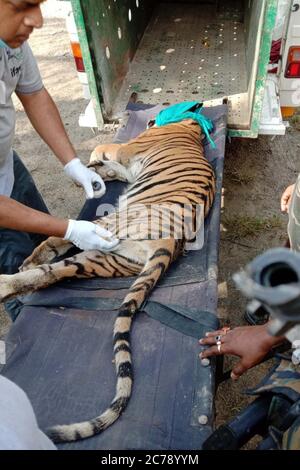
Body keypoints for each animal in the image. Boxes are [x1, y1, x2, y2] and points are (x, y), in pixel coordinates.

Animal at [0, 116, 216, 440]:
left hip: (107, 225)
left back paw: (17, 271)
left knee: (60, 240)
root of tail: (171, 242)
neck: (192, 128)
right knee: (49, 273)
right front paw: (94, 174)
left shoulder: (124, 148)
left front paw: (90, 167)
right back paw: (20, 272)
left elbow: (102, 149)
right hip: (100, 259)